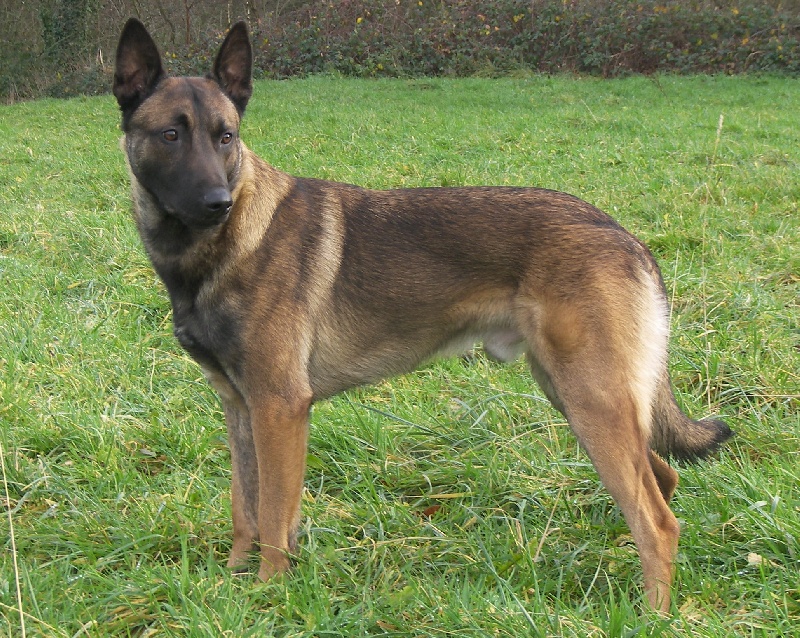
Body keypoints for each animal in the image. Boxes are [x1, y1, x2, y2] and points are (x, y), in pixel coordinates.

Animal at [113, 18, 731, 612]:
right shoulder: (240, 406)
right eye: (171, 135)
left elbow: (272, 516)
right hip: (575, 394)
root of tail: (626, 237)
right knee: (662, 477)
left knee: (658, 520)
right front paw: (233, 584)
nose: (217, 203)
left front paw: (268, 595)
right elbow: (246, 508)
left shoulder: (279, 408)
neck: (223, 247)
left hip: (591, 400)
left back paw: (653, 613)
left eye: (226, 137)